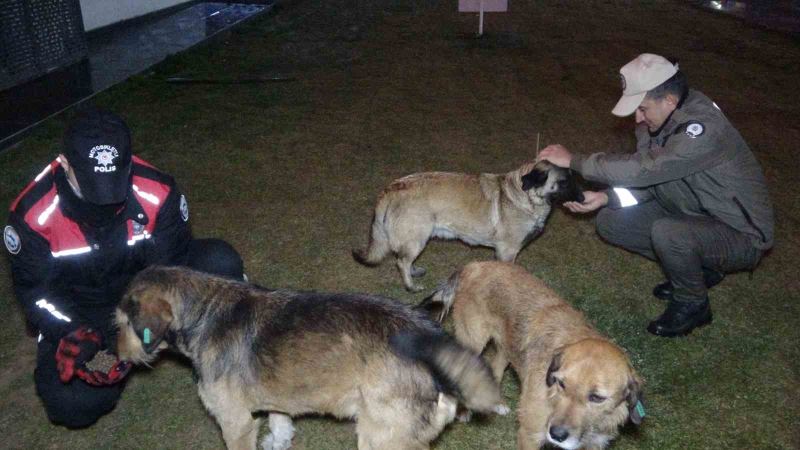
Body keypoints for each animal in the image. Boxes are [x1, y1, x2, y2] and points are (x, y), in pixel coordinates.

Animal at [115, 266, 506, 450]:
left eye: (120, 323)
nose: (113, 356)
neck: (204, 312)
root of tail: (428, 335)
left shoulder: (234, 421)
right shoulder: (276, 398)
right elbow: (280, 421)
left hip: (380, 438)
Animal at [354, 162, 584, 292]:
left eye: (573, 178)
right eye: (564, 182)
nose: (583, 198)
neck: (524, 195)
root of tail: (391, 188)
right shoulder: (508, 252)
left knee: (404, 259)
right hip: (417, 239)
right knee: (401, 262)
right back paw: (411, 286)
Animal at [418, 260, 644, 450]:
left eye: (597, 397)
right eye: (561, 383)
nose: (557, 434)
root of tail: (474, 265)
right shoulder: (530, 435)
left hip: (507, 346)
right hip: (472, 342)